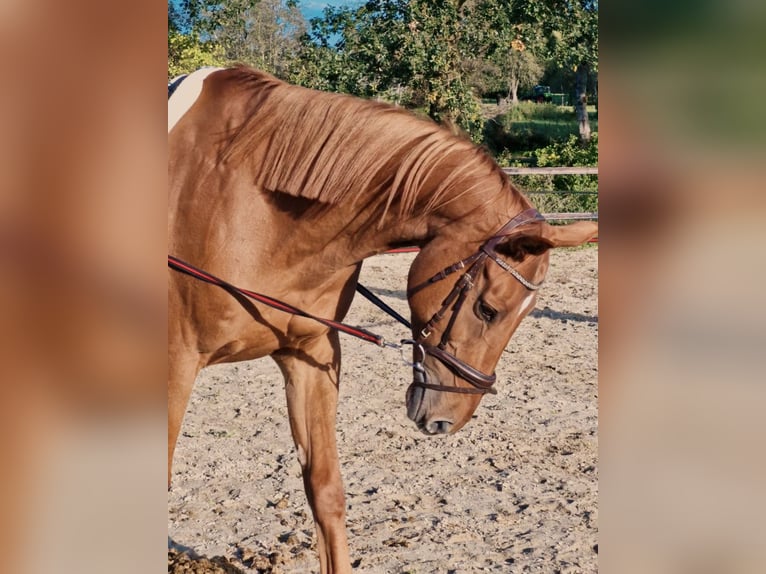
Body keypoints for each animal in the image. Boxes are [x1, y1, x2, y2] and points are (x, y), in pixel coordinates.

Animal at [168, 66, 600, 572]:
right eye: (487, 310)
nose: (446, 422)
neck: (252, 207)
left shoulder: (309, 357)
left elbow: (326, 491)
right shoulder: (175, 366)